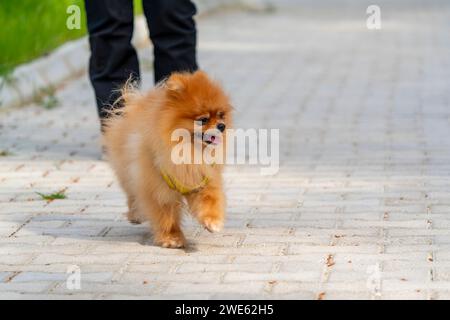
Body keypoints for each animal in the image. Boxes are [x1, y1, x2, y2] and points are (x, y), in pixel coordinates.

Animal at [103, 71, 232, 249]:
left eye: (221, 116)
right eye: (203, 120)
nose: (221, 126)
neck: (190, 153)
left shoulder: (202, 179)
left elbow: (211, 200)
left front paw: (213, 222)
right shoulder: (158, 190)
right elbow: (166, 217)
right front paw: (172, 238)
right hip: (128, 172)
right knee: (132, 194)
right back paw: (136, 215)